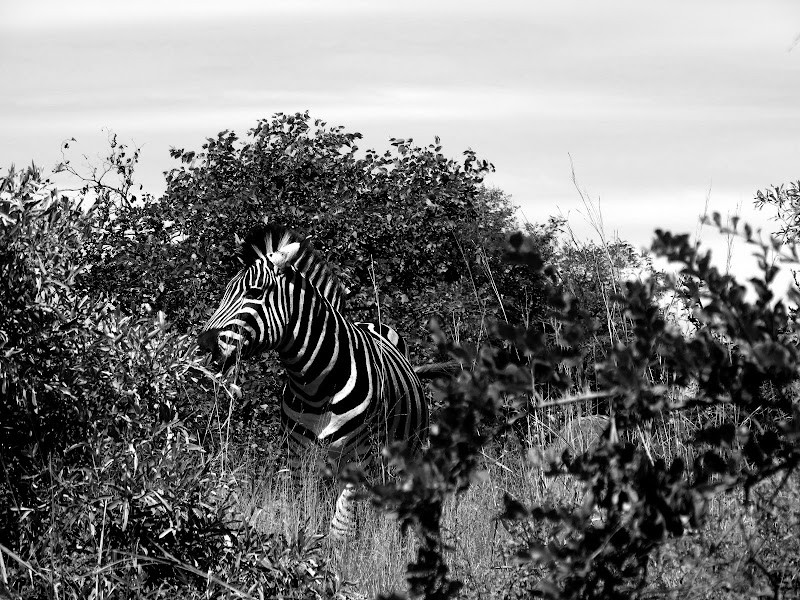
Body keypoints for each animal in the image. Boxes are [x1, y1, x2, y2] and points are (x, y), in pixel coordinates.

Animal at [197, 223, 428, 540]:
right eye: (224, 293)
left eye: (254, 292)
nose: (203, 345)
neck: (316, 385)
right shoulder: (298, 456)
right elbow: (303, 514)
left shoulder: (358, 457)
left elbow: (341, 529)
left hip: (404, 454)